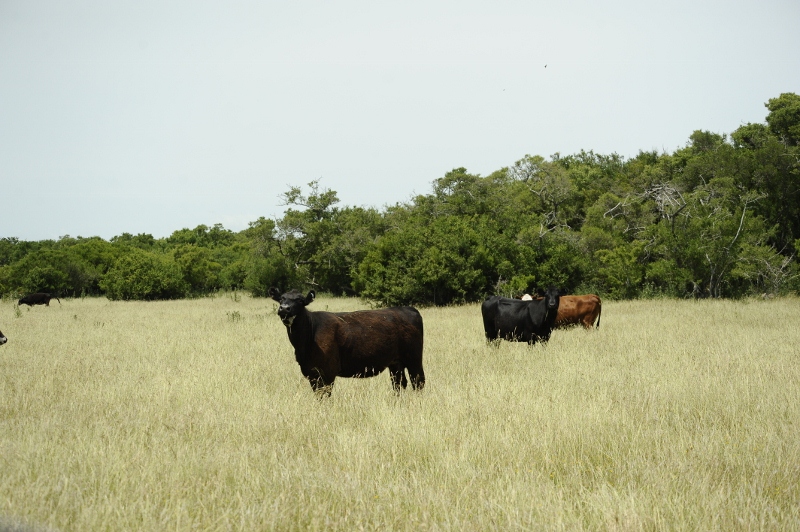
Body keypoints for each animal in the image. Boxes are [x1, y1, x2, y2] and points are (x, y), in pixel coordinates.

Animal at [268, 288, 428, 396]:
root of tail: (408, 308)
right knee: (399, 384)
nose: (285, 308)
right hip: (395, 363)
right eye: (281, 299)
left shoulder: (328, 372)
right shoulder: (311, 373)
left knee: (418, 381)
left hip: (414, 358)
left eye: (300, 301)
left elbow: (325, 395)